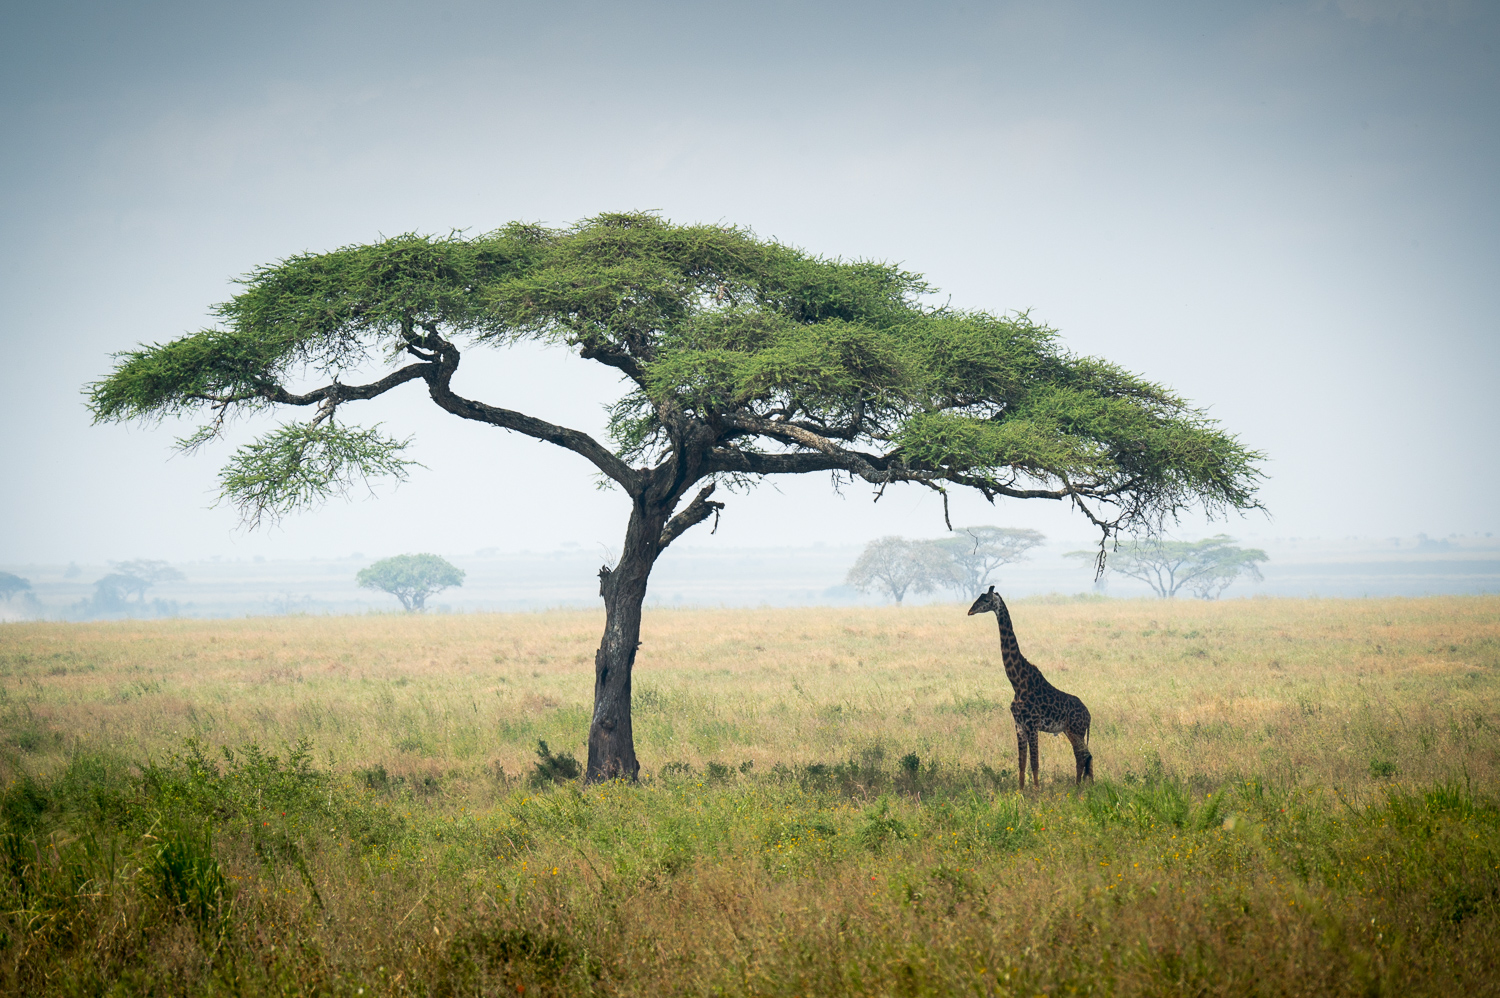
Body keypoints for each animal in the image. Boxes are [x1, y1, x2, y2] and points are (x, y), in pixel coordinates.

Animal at [966, 585, 1098, 786]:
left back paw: (1080, 788)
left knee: (1083, 757)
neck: (1017, 682)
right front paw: (1020, 791)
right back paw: (1084, 787)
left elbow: (1035, 762)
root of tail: (1088, 715)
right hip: (1071, 731)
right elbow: (1022, 763)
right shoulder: (1019, 725)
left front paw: (1036, 791)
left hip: (1076, 730)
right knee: (1085, 757)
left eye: (986, 600)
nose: (970, 611)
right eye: (979, 597)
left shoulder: (1033, 724)